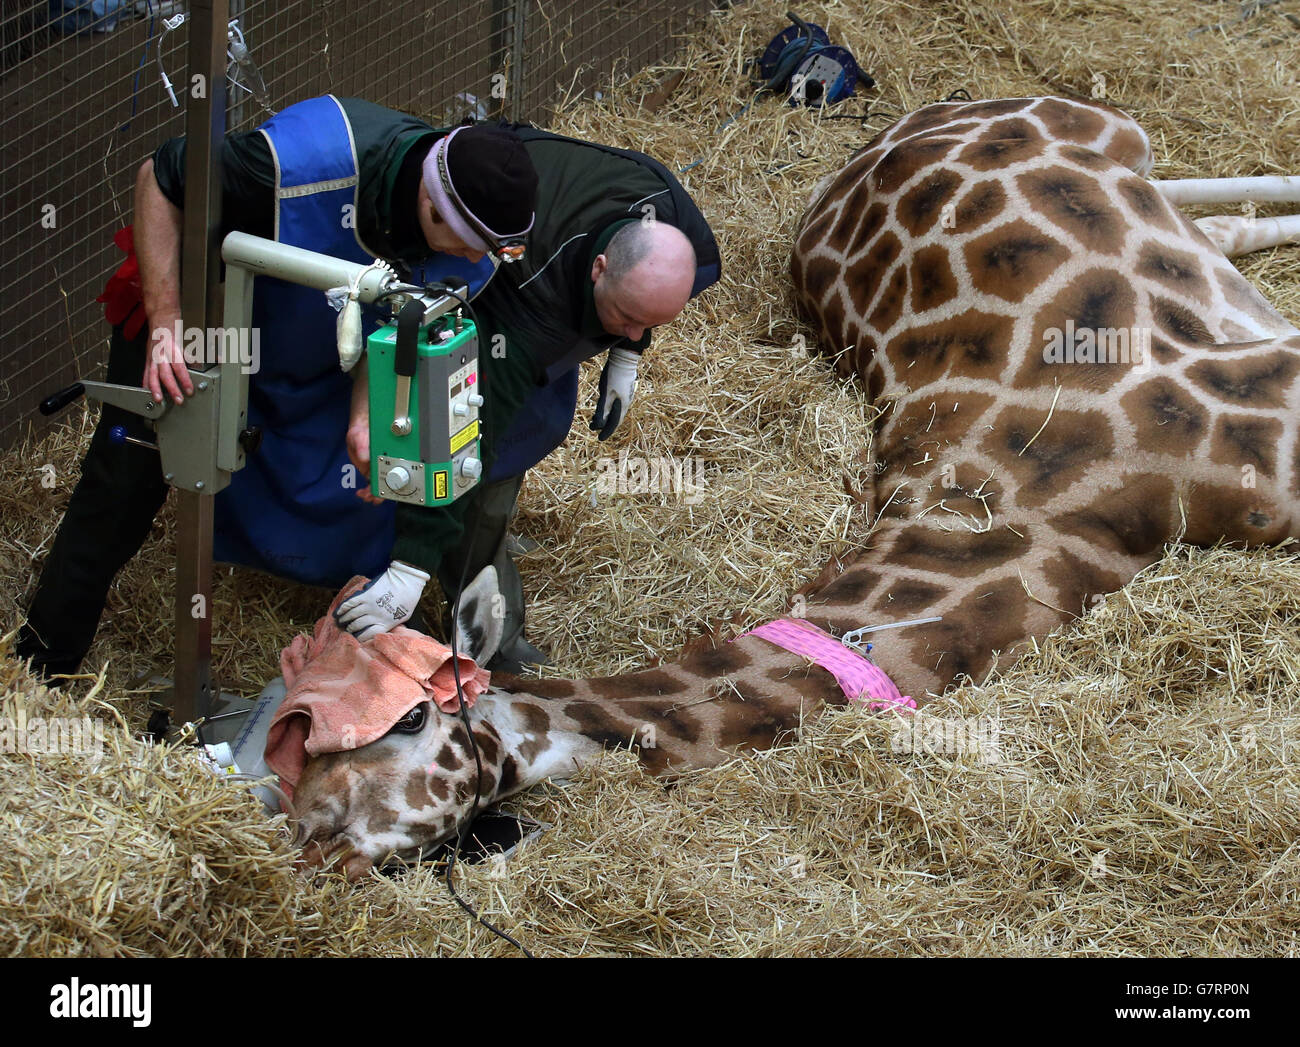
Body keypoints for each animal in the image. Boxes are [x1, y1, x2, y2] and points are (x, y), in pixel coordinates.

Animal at [291, 96, 1300, 879]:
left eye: (407, 718)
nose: (305, 844)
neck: (1053, 499)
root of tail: (873, 142)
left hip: (1100, 123)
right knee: (1214, 225)